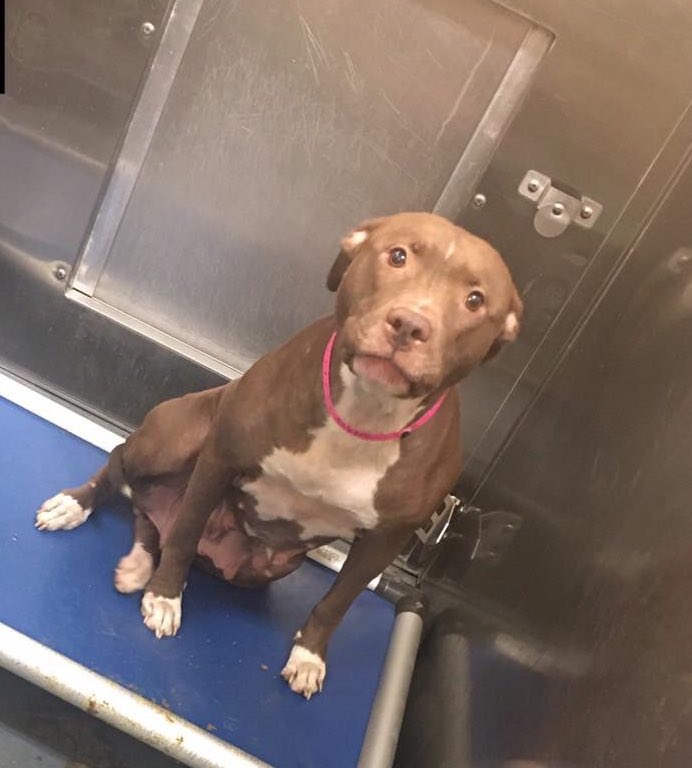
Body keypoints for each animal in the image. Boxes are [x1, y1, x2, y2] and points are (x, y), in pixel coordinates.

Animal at [35, 212, 522, 699]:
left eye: (475, 300)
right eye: (398, 255)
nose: (409, 324)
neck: (363, 413)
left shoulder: (384, 542)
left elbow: (336, 602)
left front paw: (308, 657)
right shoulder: (220, 459)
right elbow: (185, 536)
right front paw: (166, 596)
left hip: (268, 566)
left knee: (152, 518)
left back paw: (138, 563)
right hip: (173, 438)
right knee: (124, 468)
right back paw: (76, 508)